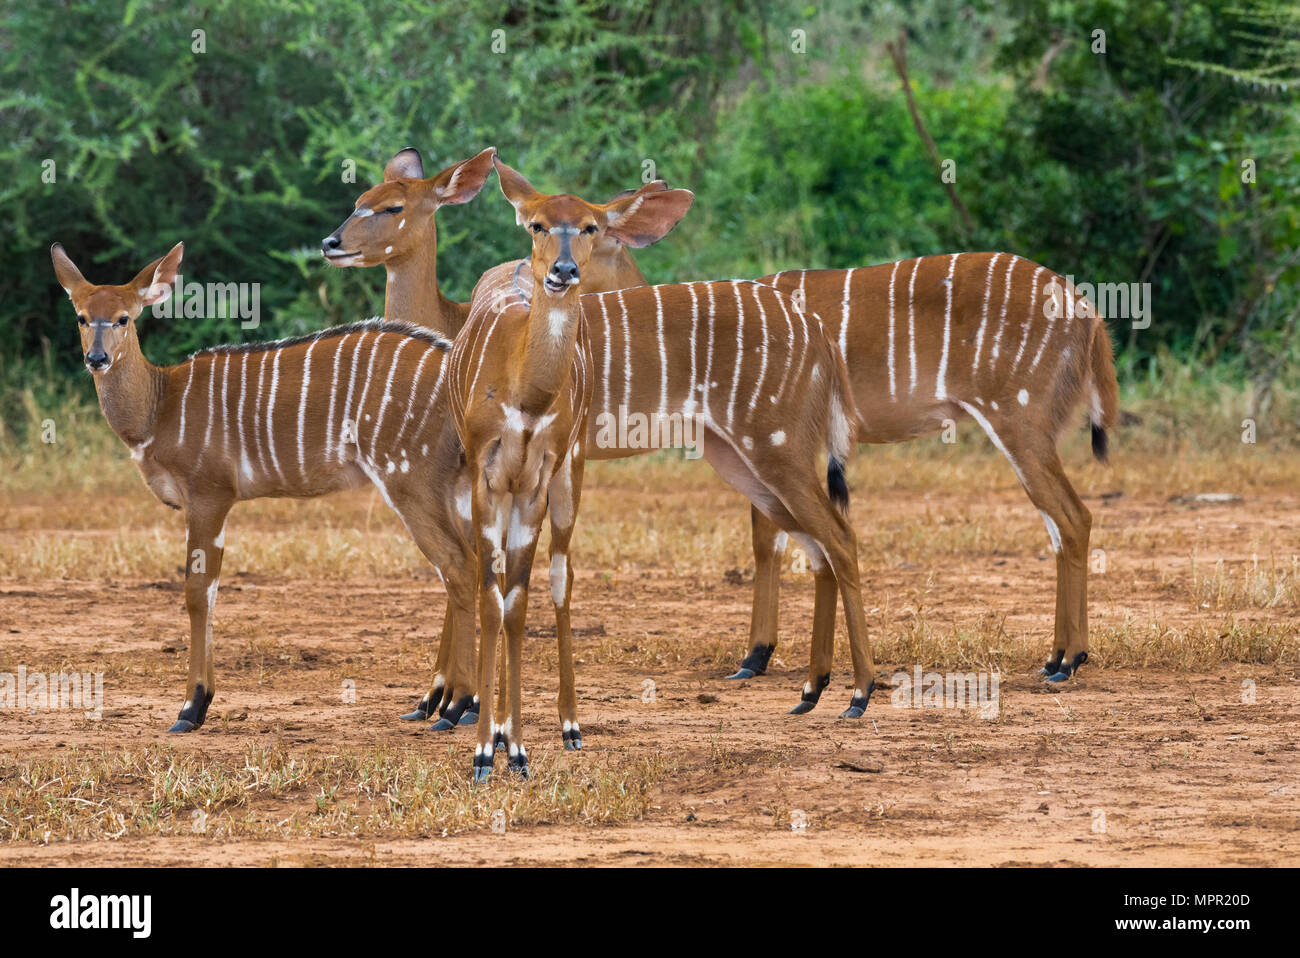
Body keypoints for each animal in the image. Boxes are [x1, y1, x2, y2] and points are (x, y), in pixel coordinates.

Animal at [52, 240, 496, 733]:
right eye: (81, 316)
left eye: (124, 318)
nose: (96, 359)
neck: (159, 406)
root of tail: (459, 371)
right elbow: (209, 591)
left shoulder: (209, 496)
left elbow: (197, 592)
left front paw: (191, 709)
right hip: (452, 486)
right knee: (473, 564)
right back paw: (444, 703)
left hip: (409, 478)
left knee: (458, 566)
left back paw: (454, 707)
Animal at [754, 257, 1128, 686]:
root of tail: (1088, 312)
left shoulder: (767, 435)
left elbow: (766, 539)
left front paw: (753, 656)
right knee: (1060, 525)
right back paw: (1056, 658)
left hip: (1019, 421)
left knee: (1074, 517)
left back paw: (1069, 661)